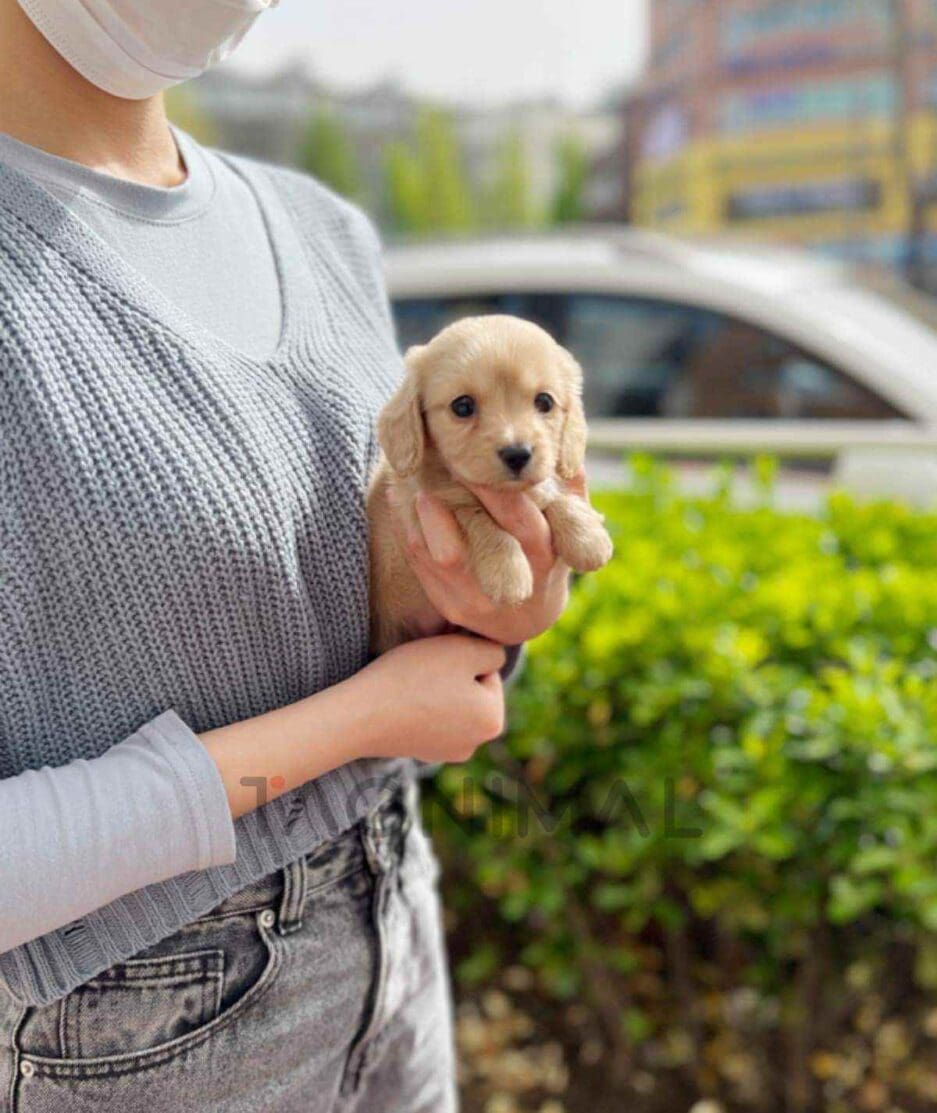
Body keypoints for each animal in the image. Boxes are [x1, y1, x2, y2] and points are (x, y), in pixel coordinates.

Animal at [365, 316, 614, 649]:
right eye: (462, 406)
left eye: (544, 401)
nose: (517, 454)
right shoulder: (421, 506)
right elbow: (478, 517)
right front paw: (508, 573)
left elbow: (555, 494)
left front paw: (588, 537)